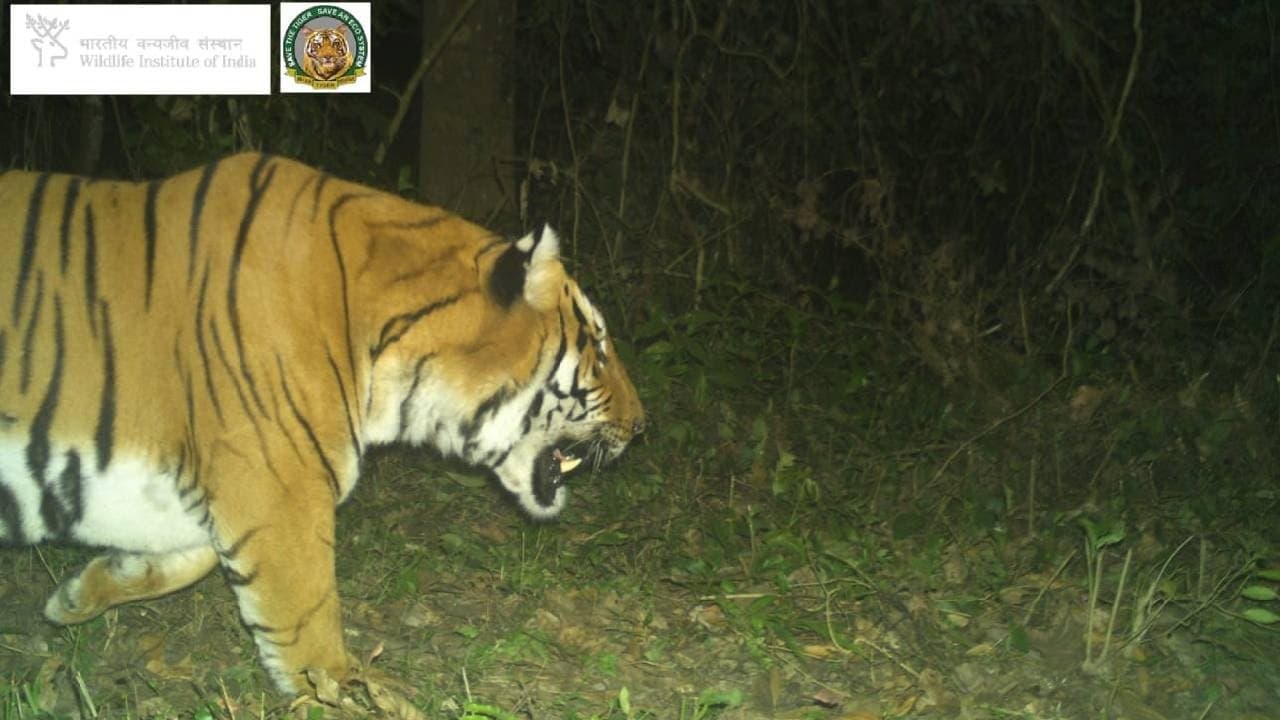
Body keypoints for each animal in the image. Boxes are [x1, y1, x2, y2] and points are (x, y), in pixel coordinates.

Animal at [0, 153, 644, 693]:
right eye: (599, 347)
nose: (642, 426)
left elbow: (190, 555)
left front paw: (78, 594)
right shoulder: (280, 491)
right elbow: (309, 630)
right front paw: (348, 695)